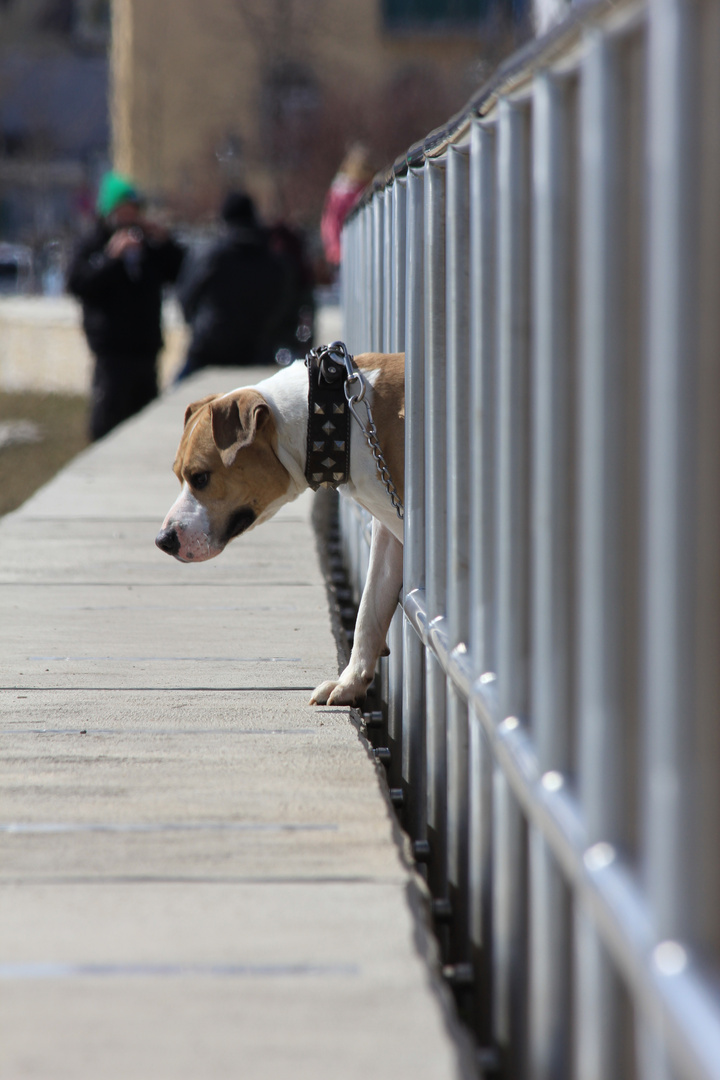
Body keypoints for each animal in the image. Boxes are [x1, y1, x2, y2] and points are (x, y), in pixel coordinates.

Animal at [156, 354, 405, 708]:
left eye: (200, 477)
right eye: (178, 476)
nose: (163, 540)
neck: (332, 419)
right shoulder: (388, 533)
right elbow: (370, 609)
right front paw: (350, 682)